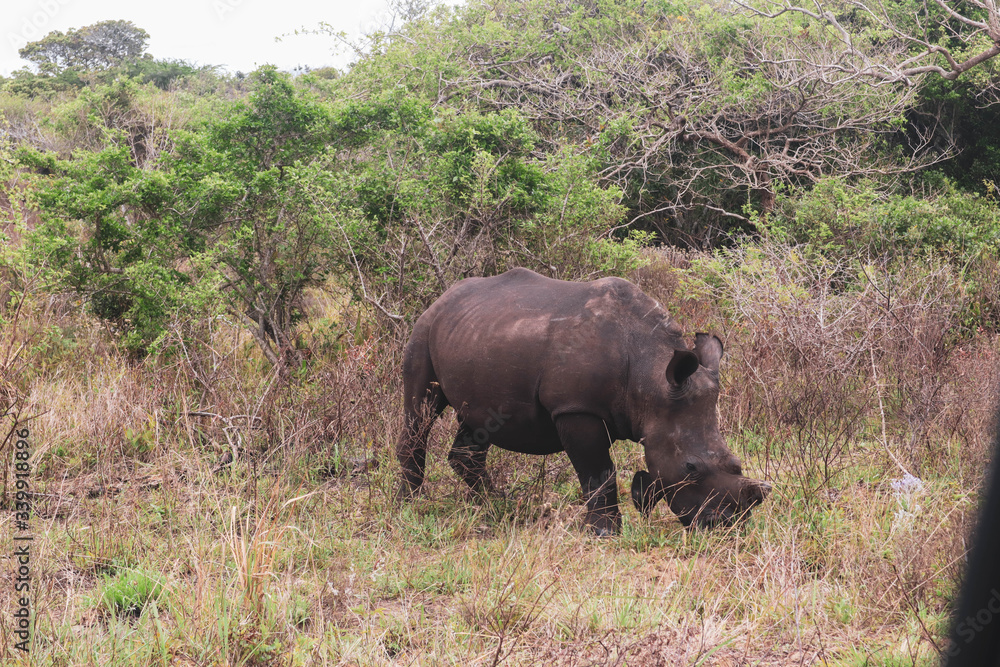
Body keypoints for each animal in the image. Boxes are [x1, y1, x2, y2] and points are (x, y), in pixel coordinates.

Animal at [395, 268, 770, 534]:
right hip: (423, 330)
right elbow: (598, 471)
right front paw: (604, 533)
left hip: (476, 335)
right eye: (690, 468)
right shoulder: (576, 408)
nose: (723, 525)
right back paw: (410, 507)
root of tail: (444, 296)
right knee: (421, 408)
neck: (651, 378)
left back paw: (497, 507)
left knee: (476, 424)